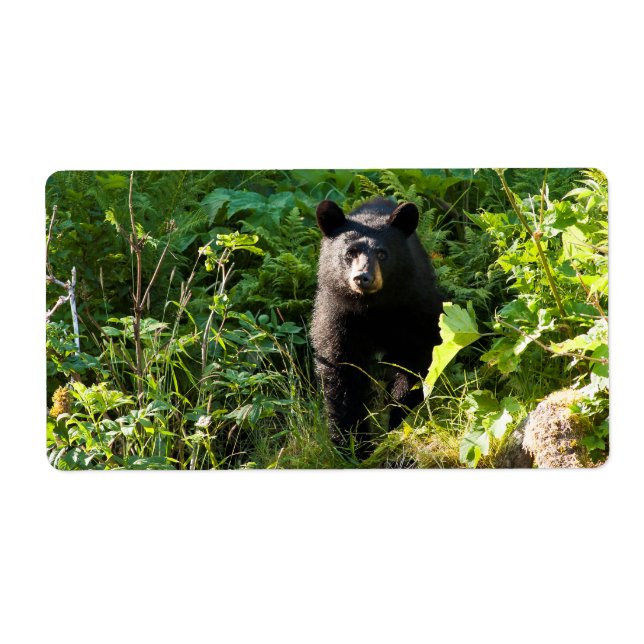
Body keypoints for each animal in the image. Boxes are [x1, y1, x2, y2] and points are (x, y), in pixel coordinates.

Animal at [311, 197, 443, 454]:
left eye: (382, 254)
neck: (374, 308)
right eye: (350, 253)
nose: (363, 277)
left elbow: (415, 360)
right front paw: (353, 444)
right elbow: (342, 371)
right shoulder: (338, 316)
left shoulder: (414, 308)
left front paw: (398, 419)